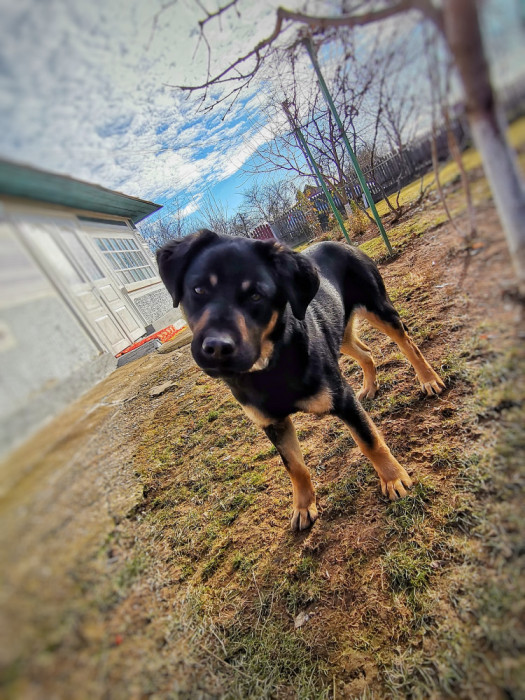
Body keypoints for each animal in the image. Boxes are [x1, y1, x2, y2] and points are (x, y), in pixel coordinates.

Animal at [156, 230, 442, 532]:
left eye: (256, 295)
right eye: (198, 290)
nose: (216, 348)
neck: (270, 364)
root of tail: (341, 243)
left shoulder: (342, 398)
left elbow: (369, 441)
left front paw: (393, 478)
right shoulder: (273, 424)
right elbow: (295, 467)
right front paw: (304, 506)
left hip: (379, 309)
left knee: (408, 344)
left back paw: (428, 379)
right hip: (339, 334)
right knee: (365, 352)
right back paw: (369, 386)